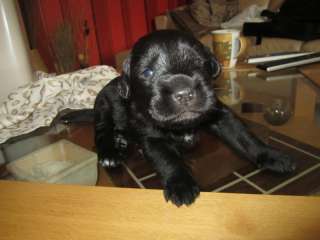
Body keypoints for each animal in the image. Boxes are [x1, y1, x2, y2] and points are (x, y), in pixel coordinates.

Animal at [93, 29, 296, 206]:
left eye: (199, 62)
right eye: (147, 72)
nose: (183, 93)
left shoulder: (221, 115)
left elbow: (245, 138)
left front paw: (271, 155)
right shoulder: (152, 136)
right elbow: (167, 158)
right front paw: (180, 184)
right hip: (103, 109)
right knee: (102, 133)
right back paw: (110, 153)